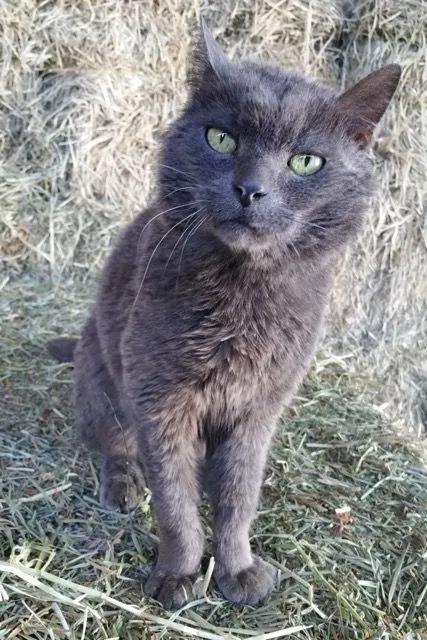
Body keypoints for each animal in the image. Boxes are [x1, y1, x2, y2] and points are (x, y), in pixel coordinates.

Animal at [48, 20, 402, 608]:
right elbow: (175, 499)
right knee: (113, 442)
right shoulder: (159, 398)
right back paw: (122, 485)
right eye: (221, 139)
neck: (243, 293)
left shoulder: (260, 407)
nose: (250, 189)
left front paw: (237, 570)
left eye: (306, 161)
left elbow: (239, 496)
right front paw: (178, 574)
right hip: (103, 380)